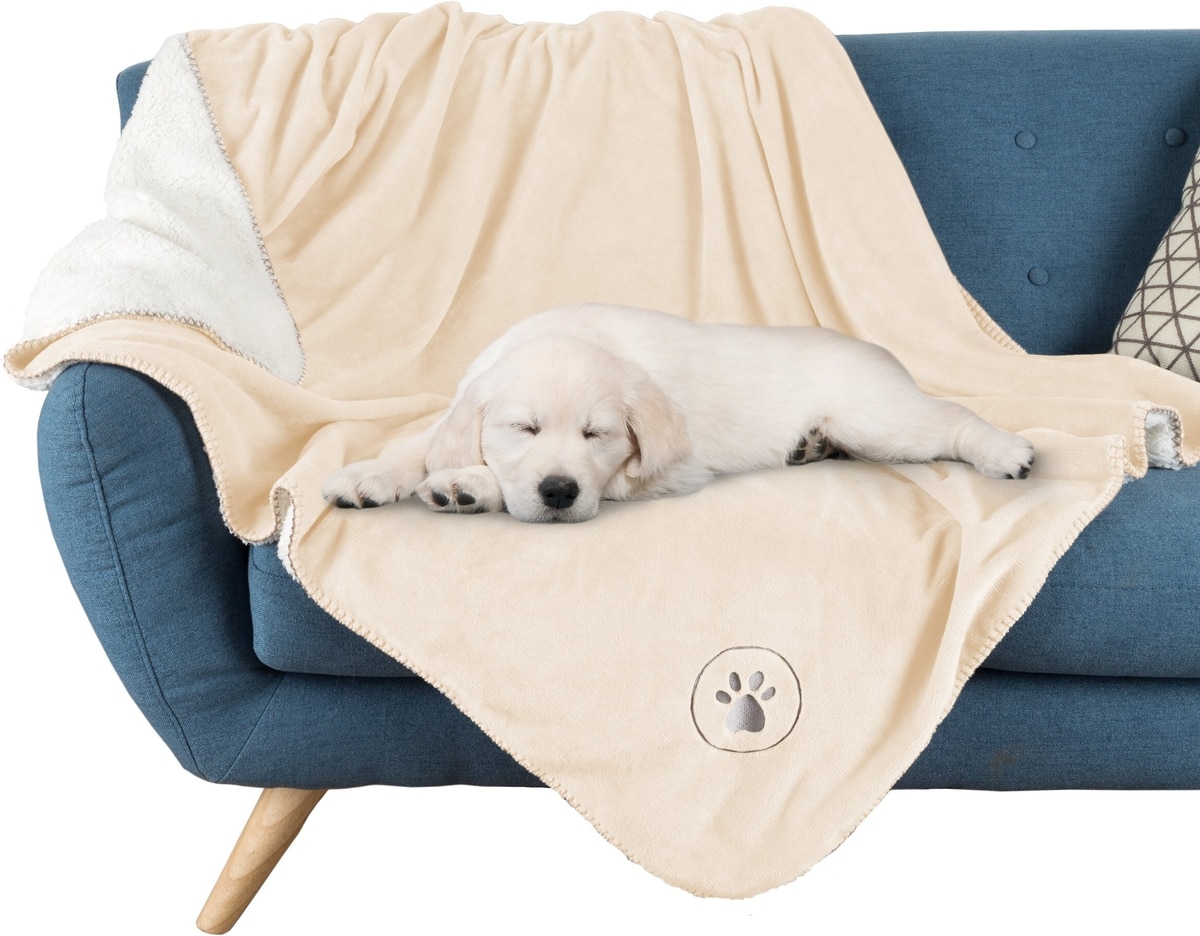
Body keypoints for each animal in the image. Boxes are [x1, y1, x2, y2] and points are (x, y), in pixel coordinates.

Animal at [322, 304, 1034, 522]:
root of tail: (873, 347)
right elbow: (418, 443)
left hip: (881, 419)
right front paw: (367, 476)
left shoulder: (667, 472)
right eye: (524, 429)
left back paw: (1008, 451)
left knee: (950, 421)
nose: (559, 492)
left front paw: (468, 485)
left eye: (596, 434)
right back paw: (810, 447)